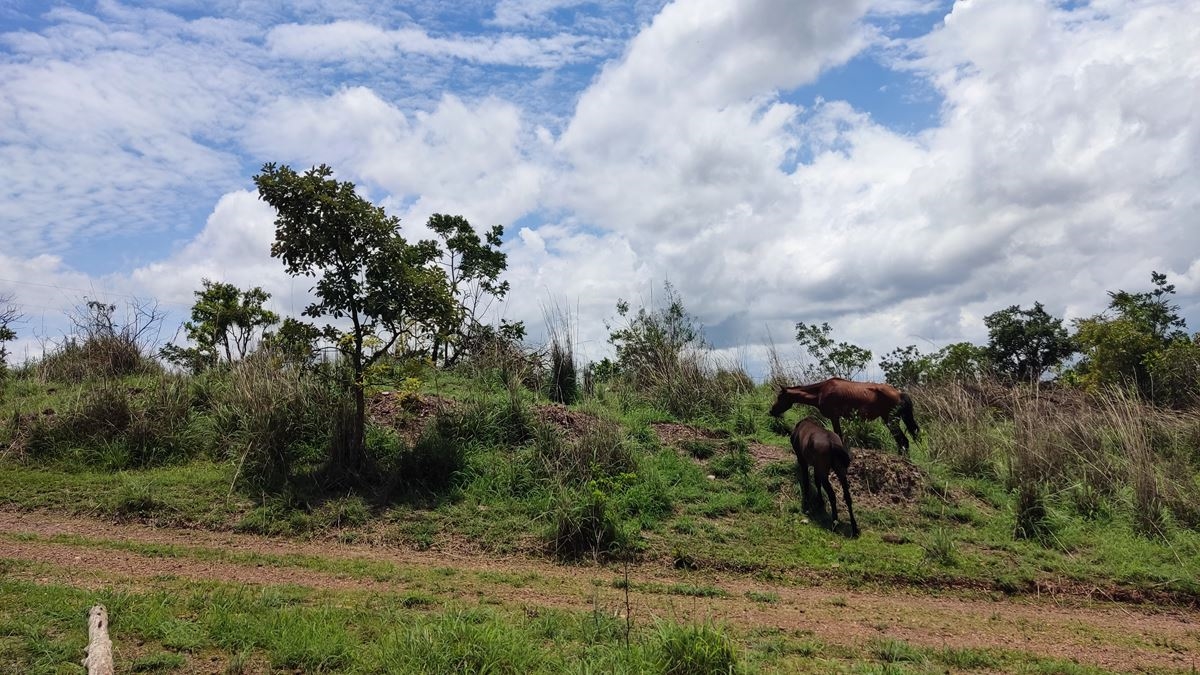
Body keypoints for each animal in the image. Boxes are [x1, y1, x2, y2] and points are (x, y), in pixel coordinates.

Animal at [768, 374, 916, 454]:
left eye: (780, 397)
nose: (771, 411)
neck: (821, 391)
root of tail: (899, 393)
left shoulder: (834, 417)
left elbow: (838, 435)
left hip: (891, 421)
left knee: (903, 441)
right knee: (902, 442)